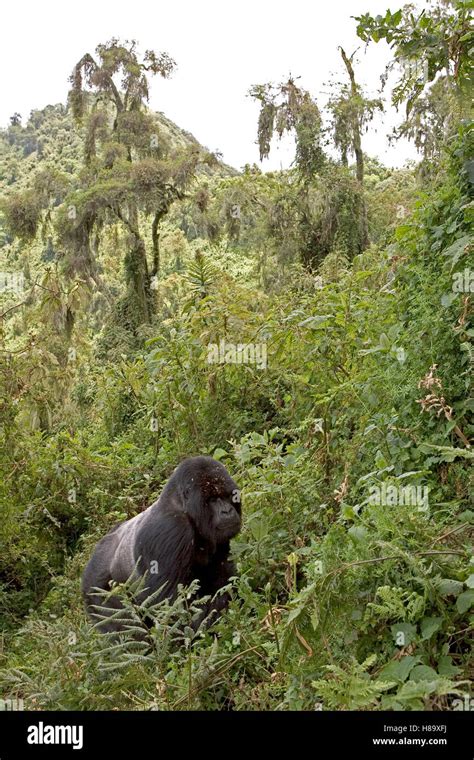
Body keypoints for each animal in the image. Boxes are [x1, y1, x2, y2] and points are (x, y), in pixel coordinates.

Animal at [80, 458, 241, 636]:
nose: (227, 511)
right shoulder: (172, 529)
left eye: (227, 496)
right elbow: (174, 608)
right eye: (212, 499)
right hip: (94, 588)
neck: (182, 506)